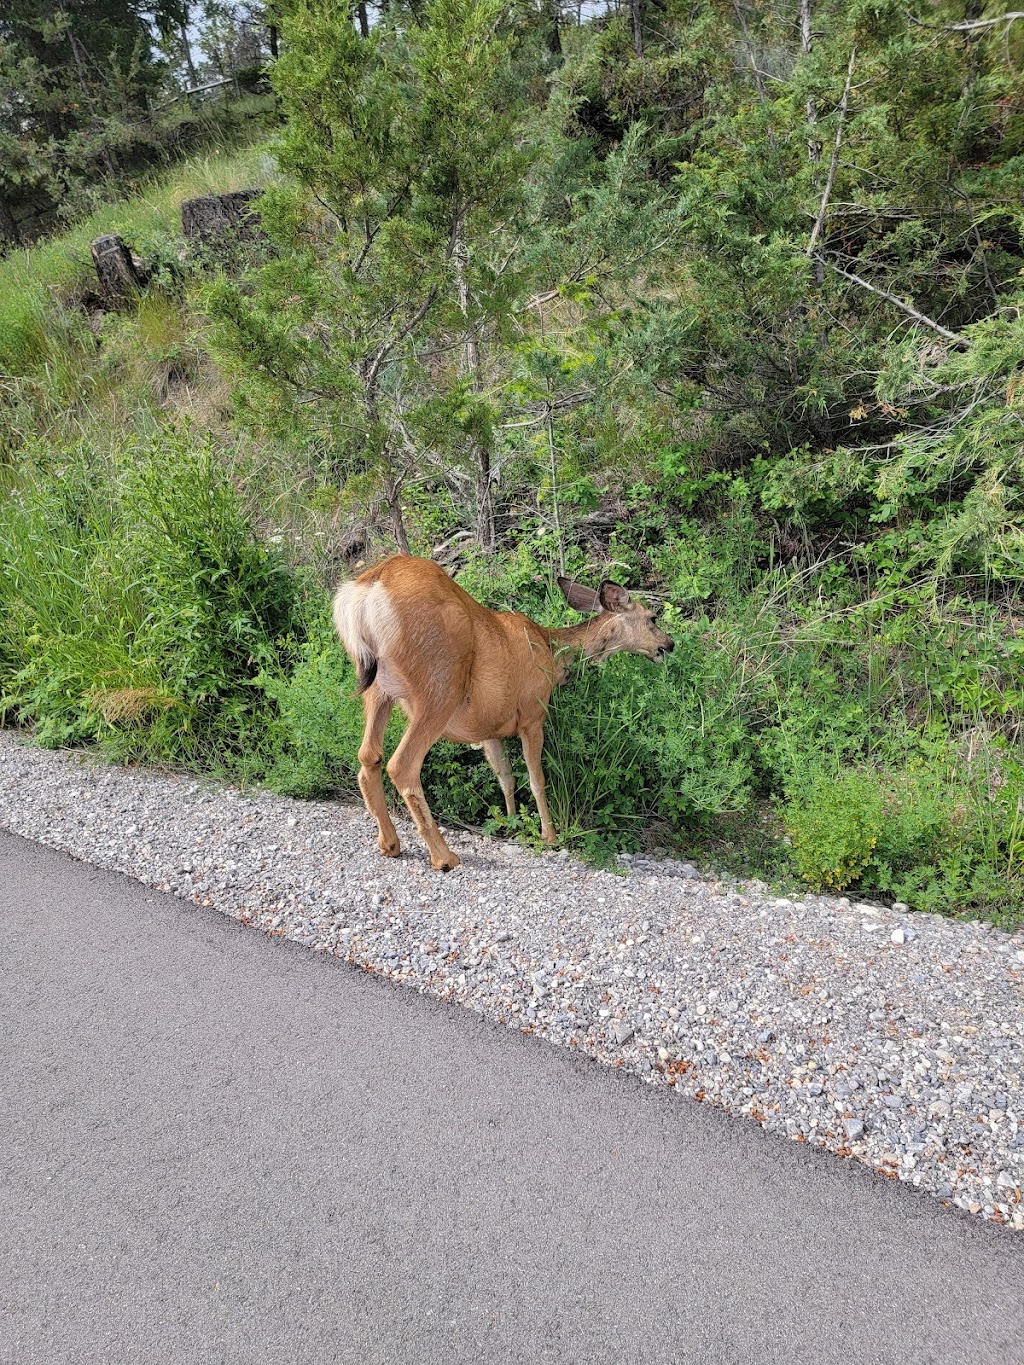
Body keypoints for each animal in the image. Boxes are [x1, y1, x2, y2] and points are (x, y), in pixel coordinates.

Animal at [333, 559, 677, 868]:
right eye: (652, 617)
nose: (669, 644)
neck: (551, 653)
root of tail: (365, 591)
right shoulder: (533, 714)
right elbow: (536, 778)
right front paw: (549, 835)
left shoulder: (488, 729)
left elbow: (506, 777)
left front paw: (512, 824)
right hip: (439, 685)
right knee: (402, 764)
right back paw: (444, 857)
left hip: (378, 688)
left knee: (368, 756)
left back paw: (390, 844)